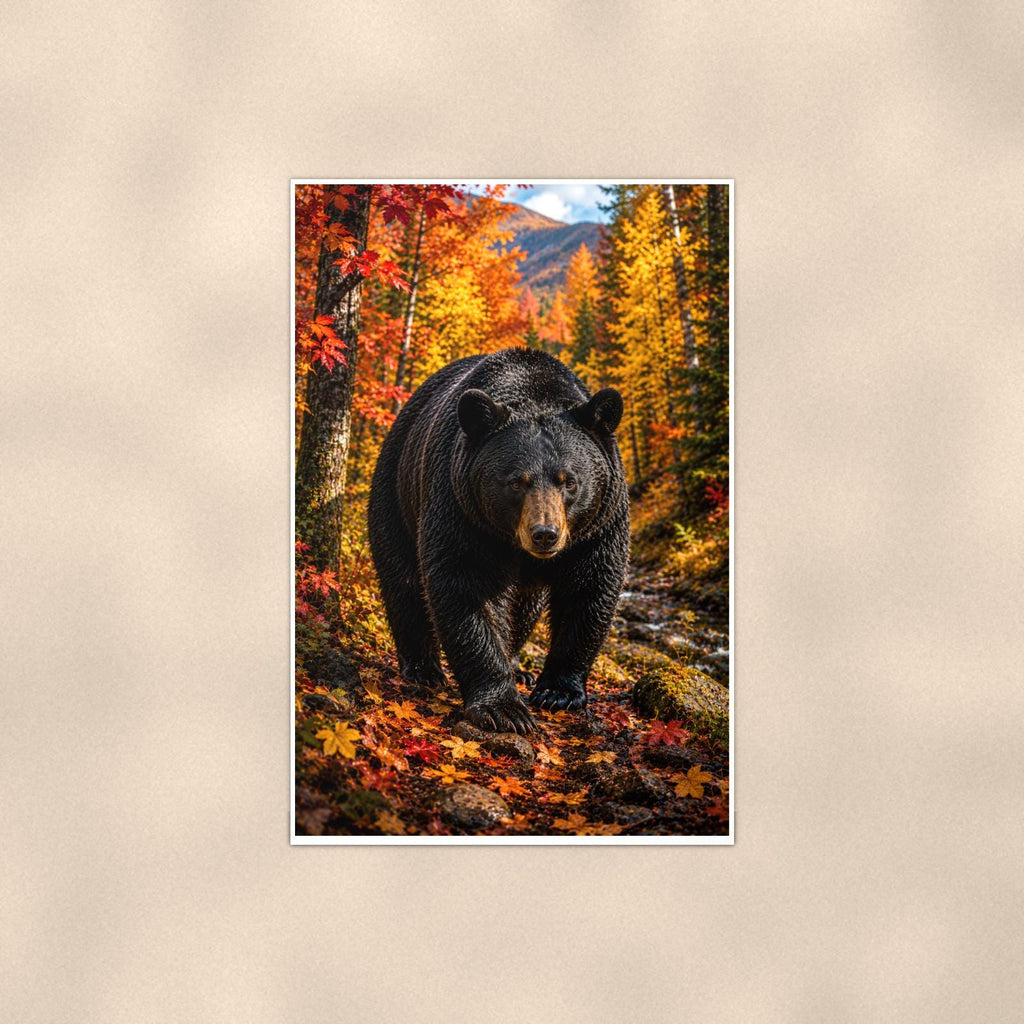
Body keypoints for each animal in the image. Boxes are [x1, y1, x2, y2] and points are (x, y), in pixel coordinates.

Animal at [367, 347, 629, 735]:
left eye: (569, 481)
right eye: (516, 481)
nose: (545, 534)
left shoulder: (598, 526)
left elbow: (589, 587)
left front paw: (558, 691)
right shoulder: (462, 506)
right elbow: (469, 584)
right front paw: (504, 708)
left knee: (524, 606)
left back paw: (518, 665)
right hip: (396, 491)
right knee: (403, 579)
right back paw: (423, 669)